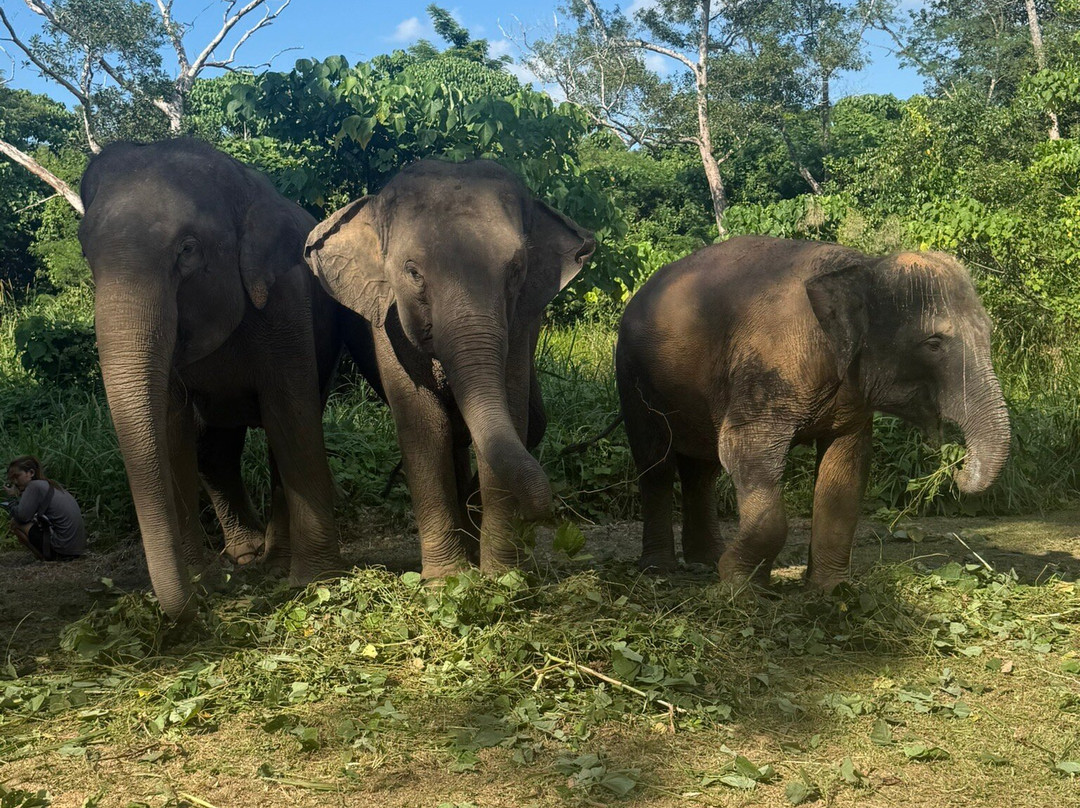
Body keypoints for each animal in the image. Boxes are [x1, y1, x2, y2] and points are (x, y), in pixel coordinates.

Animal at [79, 138, 379, 621]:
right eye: (85, 251)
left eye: (187, 249)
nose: (193, 609)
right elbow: (172, 433)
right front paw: (204, 581)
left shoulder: (285, 302)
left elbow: (291, 419)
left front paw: (315, 581)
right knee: (215, 451)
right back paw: (246, 555)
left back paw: (272, 563)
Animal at [305, 159, 595, 577]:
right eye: (413, 272)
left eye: (516, 270)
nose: (543, 513)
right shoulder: (387, 327)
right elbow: (424, 427)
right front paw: (446, 580)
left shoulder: (520, 326)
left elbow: (512, 413)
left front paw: (501, 575)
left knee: (532, 420)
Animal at [616, 235, 1010, 589]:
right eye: (933, 343)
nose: (956, 467)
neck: (862, 267)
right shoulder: (767, 371)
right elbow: (744, 451)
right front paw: (741, 585)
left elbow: (845, 469)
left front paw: (830, 591)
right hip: (634, 378)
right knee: (656, 463)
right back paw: (660, 569)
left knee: (702, 470)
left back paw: (707, 560)